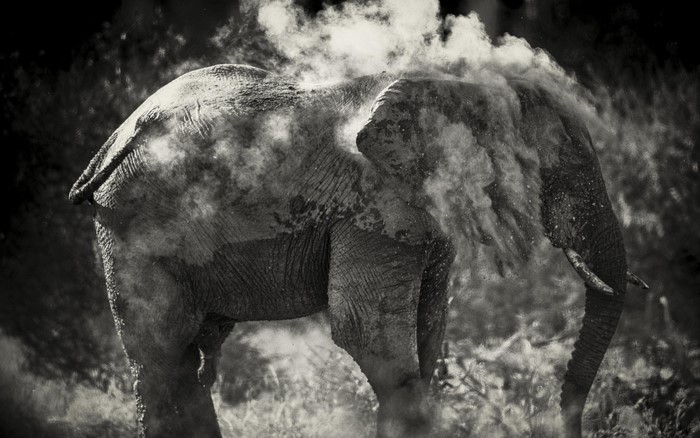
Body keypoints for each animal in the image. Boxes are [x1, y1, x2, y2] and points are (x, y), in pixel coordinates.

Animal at [69, 64, 648, 437]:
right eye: (562, 169)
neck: (458, 89)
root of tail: (116, 137)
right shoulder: (374, 204)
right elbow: (368, 336)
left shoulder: (421, 211)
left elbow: (428, 333)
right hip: (132, 222)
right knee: (163, 359)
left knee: (184, 362)